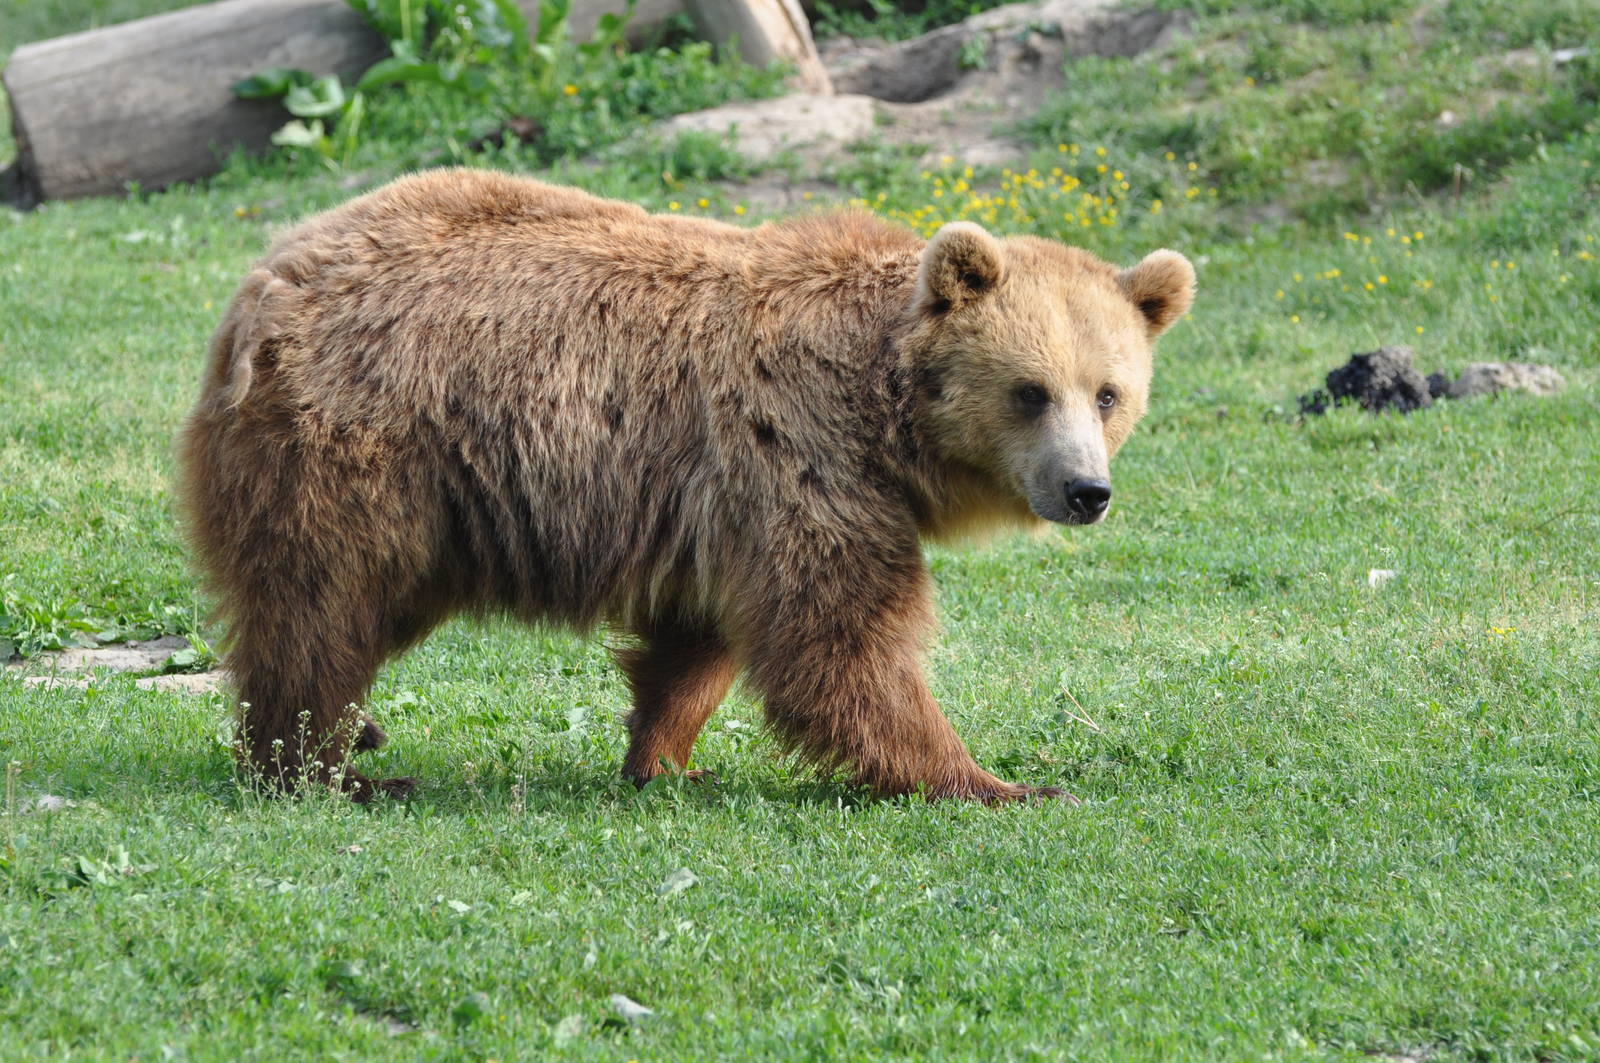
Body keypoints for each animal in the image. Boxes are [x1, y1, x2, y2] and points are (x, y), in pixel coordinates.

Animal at [177, 168, 1194, 804]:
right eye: (1031, 391)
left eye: (1109, 392)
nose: (1086, 490)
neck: (883, 411)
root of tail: (262, 281)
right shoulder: (800, 451)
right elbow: (841, 637)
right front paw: (999, 780)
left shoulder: (719, 498)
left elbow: (701, 638)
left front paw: (666, 758)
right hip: (367, 446)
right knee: (320, 606)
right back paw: (332, 767)